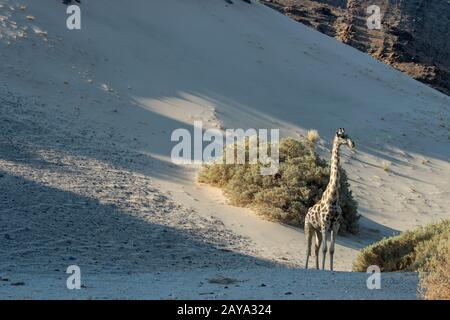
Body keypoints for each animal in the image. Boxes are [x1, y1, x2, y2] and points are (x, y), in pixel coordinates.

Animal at [306, 127, 356, 270]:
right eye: (342, 136)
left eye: (348, 135)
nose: (353, 144)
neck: (333, 197)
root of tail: (307, 212)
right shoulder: (325, 223)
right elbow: (325, 249)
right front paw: (324, 269)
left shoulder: (335, 224)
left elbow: (332, 249)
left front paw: (331, 269)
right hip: (309, 227)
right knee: (309, 248)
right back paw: (307, 267)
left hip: (317, 231)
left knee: (316, 248)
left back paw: (317, 268)